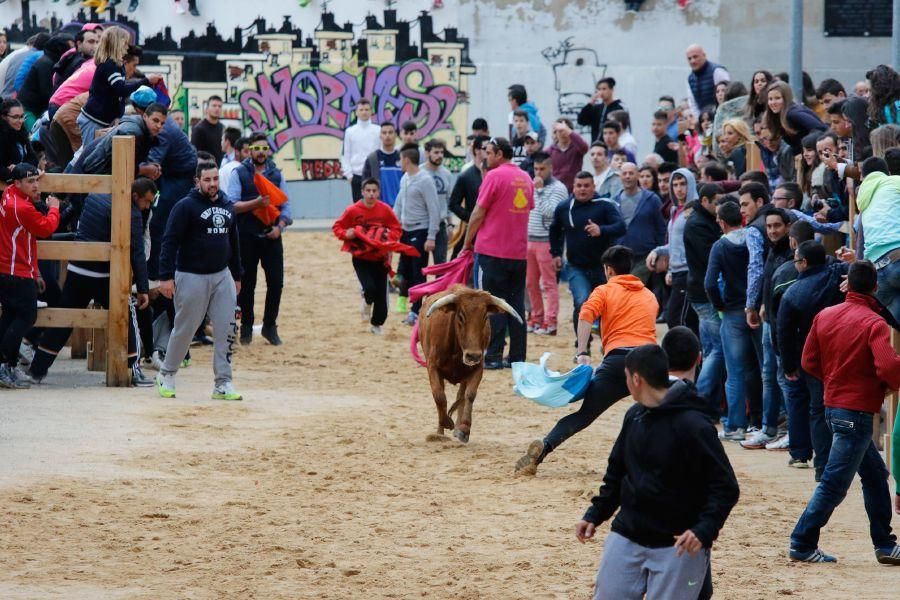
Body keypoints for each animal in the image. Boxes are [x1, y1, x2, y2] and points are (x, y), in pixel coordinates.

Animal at [416, 284, 520, 442]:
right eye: (460, 316)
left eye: (485, 316)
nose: (473, 355)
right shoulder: (432, 366)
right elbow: (439, 395)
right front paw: (445, 423)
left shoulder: (477, 368)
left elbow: (469, 395)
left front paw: (464, 428)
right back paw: (440, 432)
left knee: (461, 395)